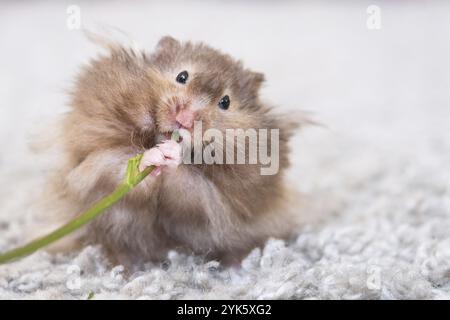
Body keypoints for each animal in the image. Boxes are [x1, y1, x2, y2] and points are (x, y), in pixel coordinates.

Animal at [44, 35, 306, 268]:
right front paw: (154, 155)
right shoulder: (95, 164)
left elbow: (188, 185)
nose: (185, 119)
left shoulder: (213, 204)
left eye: (225, 102)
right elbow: (119, 170)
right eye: (182, 76)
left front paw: (171, 153)